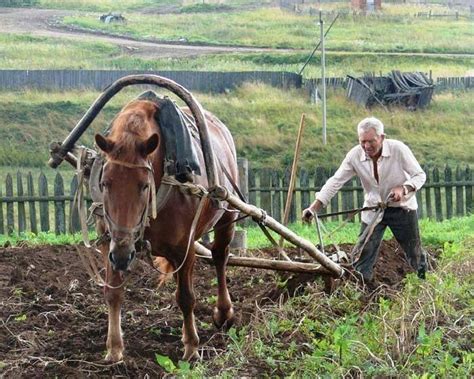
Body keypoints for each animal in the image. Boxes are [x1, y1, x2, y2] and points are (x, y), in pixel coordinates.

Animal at [94, 96, 239, 360]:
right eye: (105, 182)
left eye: (144, 185)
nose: (122, 255)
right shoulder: (110, 243)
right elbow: (113, 292)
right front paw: (114, 348)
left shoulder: (185, 247)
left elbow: (185, 297)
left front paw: (191, 346)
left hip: (227, 216)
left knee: (220, 256)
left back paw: (224, 312)